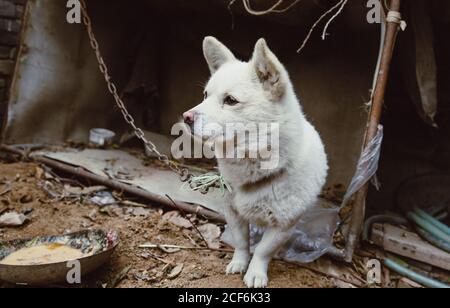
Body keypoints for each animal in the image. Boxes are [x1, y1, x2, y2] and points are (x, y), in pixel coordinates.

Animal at [182, 37, 326, 288]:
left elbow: (262, 251)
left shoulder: (283, 226)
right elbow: (242, 243)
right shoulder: (233, 213)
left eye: (230, 100)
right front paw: (239, 263)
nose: (186, 117)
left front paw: (255, 273)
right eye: (205, 95)